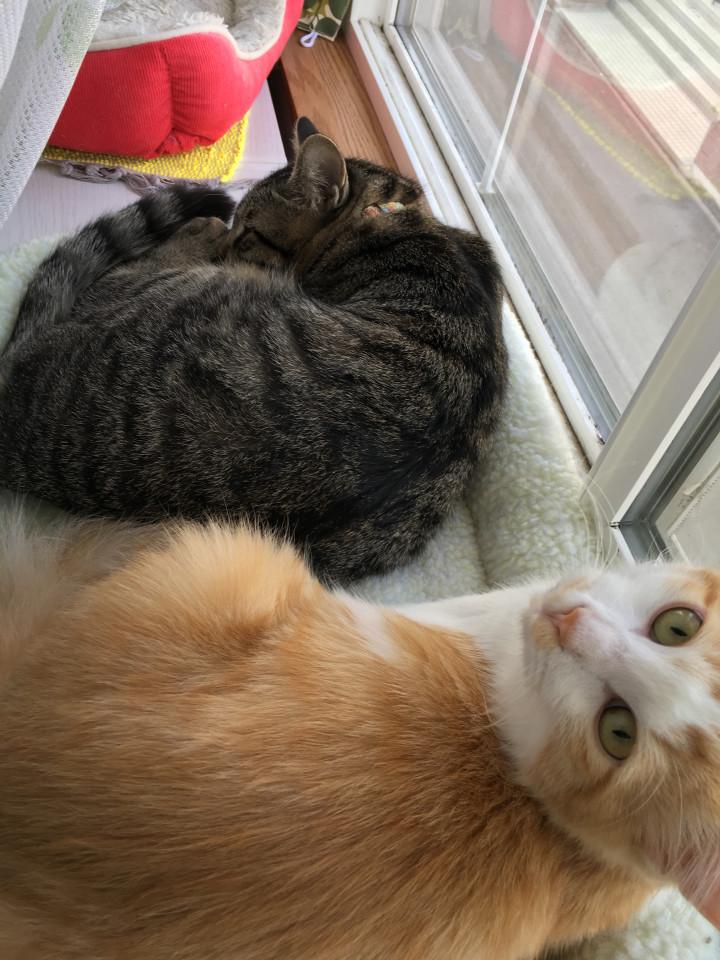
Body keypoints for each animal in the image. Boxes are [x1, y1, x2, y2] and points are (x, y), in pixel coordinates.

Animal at [0, 117, 507, 583]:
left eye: (246, 233)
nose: (224, 244)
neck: (393, 216)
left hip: (162, 288)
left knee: (128, 270)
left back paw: (197, 229)